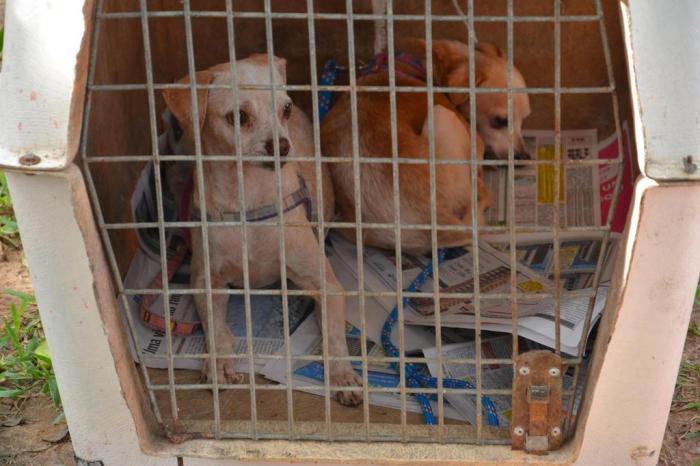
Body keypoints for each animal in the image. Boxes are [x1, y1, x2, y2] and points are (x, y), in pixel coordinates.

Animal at [162, 54, 363, 406]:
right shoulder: (206, 282)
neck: (249, 201)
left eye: (285, 108)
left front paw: (343, 376)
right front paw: (219, 363)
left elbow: (335, 335)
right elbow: (216, 327)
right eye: (238, 117)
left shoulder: (327, 285)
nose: (282, 145)